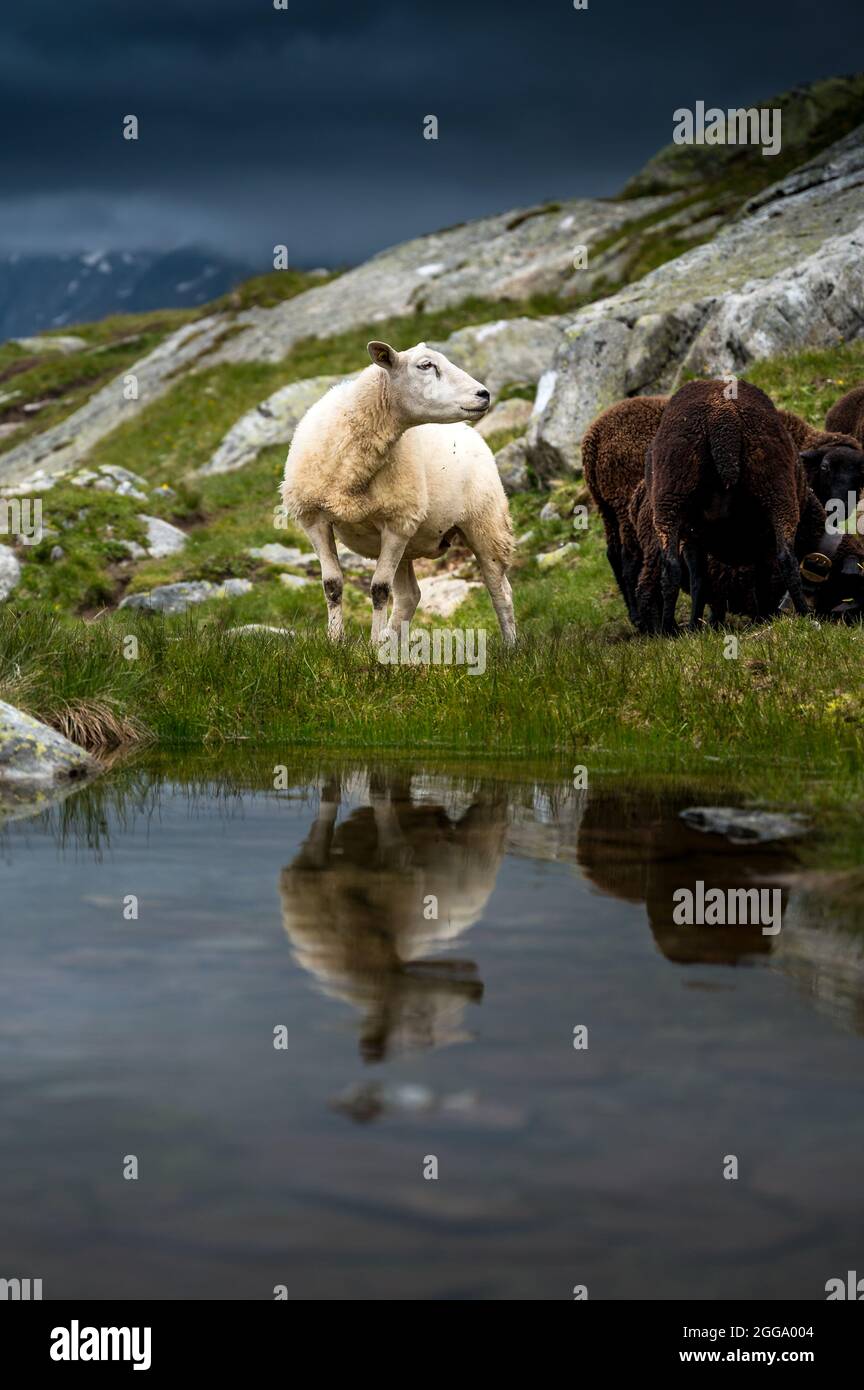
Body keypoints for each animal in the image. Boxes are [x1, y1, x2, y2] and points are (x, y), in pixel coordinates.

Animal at [280, 339, 516, 642]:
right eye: (426, 365)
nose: (484, 394)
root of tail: (471, 433)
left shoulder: (396, 523)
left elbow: (379, 590)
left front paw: (371, 645)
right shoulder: (313, 517)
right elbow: (332, 585)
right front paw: (335, 641)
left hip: (486, 523)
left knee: (500, 590)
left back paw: (511, 646)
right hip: (409, 543)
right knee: (409, 597)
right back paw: (390, 643)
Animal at [583, 397, 669, 625]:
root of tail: (595, 438)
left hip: (605, 506)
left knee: (613, 553)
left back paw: (635, 614)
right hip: (626, 496)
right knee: (631, 558)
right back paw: (644, 619)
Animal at [652, 378, 816, 633]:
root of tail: (723, 418)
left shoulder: (693, 537)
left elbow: (700, 581)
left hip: (671, 495)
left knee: (671, 568)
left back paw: (669, 630)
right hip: (775, 487)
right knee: (786, 557)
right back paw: (804, 614)